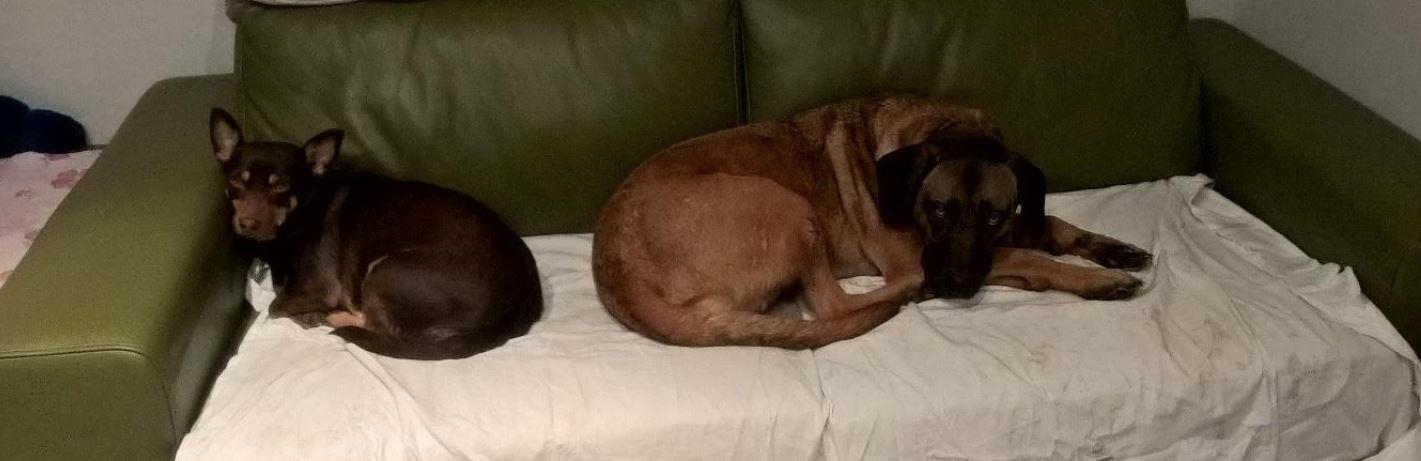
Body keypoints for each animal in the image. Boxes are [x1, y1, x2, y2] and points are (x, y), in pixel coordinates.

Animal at [209, 108, 543, 360]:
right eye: (237, 180)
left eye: (280, 186)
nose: (247, 224)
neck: (301, 211)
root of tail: (523, 302)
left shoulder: (318, 286)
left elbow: (275, 306)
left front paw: (308, 315)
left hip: (388, 272)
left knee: (375, 326)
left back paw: (333, 318)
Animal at [592, 96, 1152, 349]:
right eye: (938, 210)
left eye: (993, 214)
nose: (954, 285)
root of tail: (614, 273)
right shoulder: (922, 255)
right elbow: (1032, 256)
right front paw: (1098, 279)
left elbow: (1049, 222)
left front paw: (1111, 250)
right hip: (787, 206)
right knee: (835, 306)